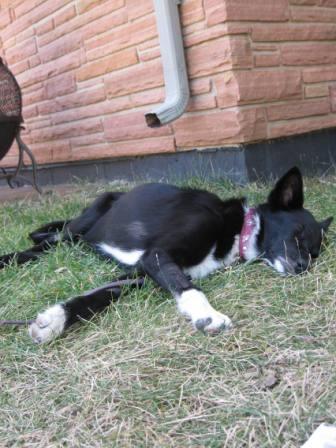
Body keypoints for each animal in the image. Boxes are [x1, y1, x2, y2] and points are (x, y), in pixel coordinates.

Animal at [0, 166, 330, 344]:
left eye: (315, 253)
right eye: (298, 232)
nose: (303, 266)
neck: (239, 229)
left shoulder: (140, 272)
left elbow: (95, 297)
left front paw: (55, 320)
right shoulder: (158, 255)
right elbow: (189, 289)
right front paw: (208, 314)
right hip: (80, 225)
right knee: (47, 243)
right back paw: (11, 258)